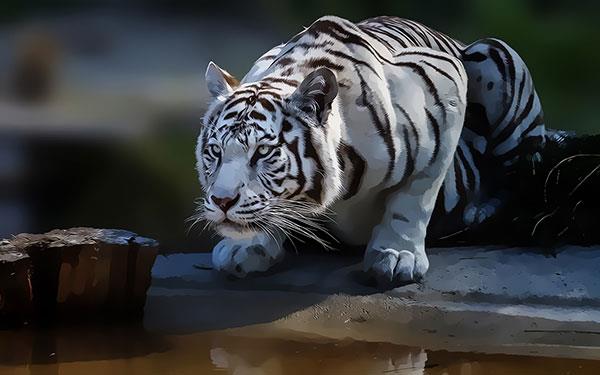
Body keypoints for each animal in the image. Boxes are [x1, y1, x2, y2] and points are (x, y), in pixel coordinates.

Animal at [196, 14, 544, 288]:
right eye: (214, 152)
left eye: (263, 153)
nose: (222, 202)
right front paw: (247, 246)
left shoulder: (446, 87)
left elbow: (415, 195)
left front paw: (398, 255)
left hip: (497, 56)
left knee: (523, 181)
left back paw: (479, 212)